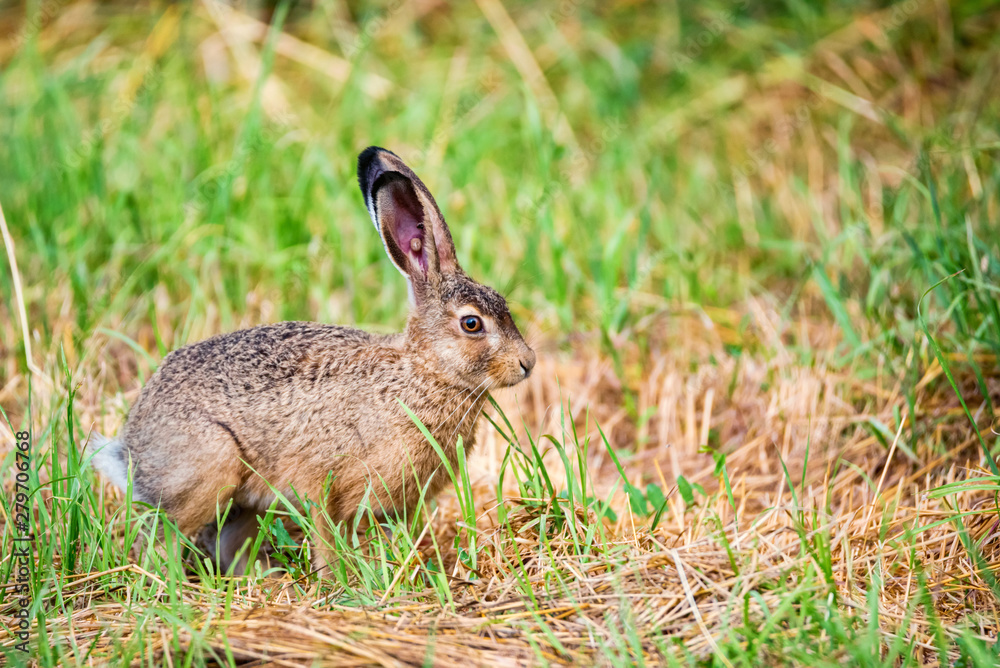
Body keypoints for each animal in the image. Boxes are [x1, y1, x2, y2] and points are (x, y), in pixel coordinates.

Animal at [92, 146, 536, 575]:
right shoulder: (321, 484)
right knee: (156, 544)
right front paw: (339, 584)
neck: (423, 371)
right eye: (472, 323)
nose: (527, 363)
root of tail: (131, 449)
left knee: (227, 546)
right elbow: (327, 543)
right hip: (211, 470)